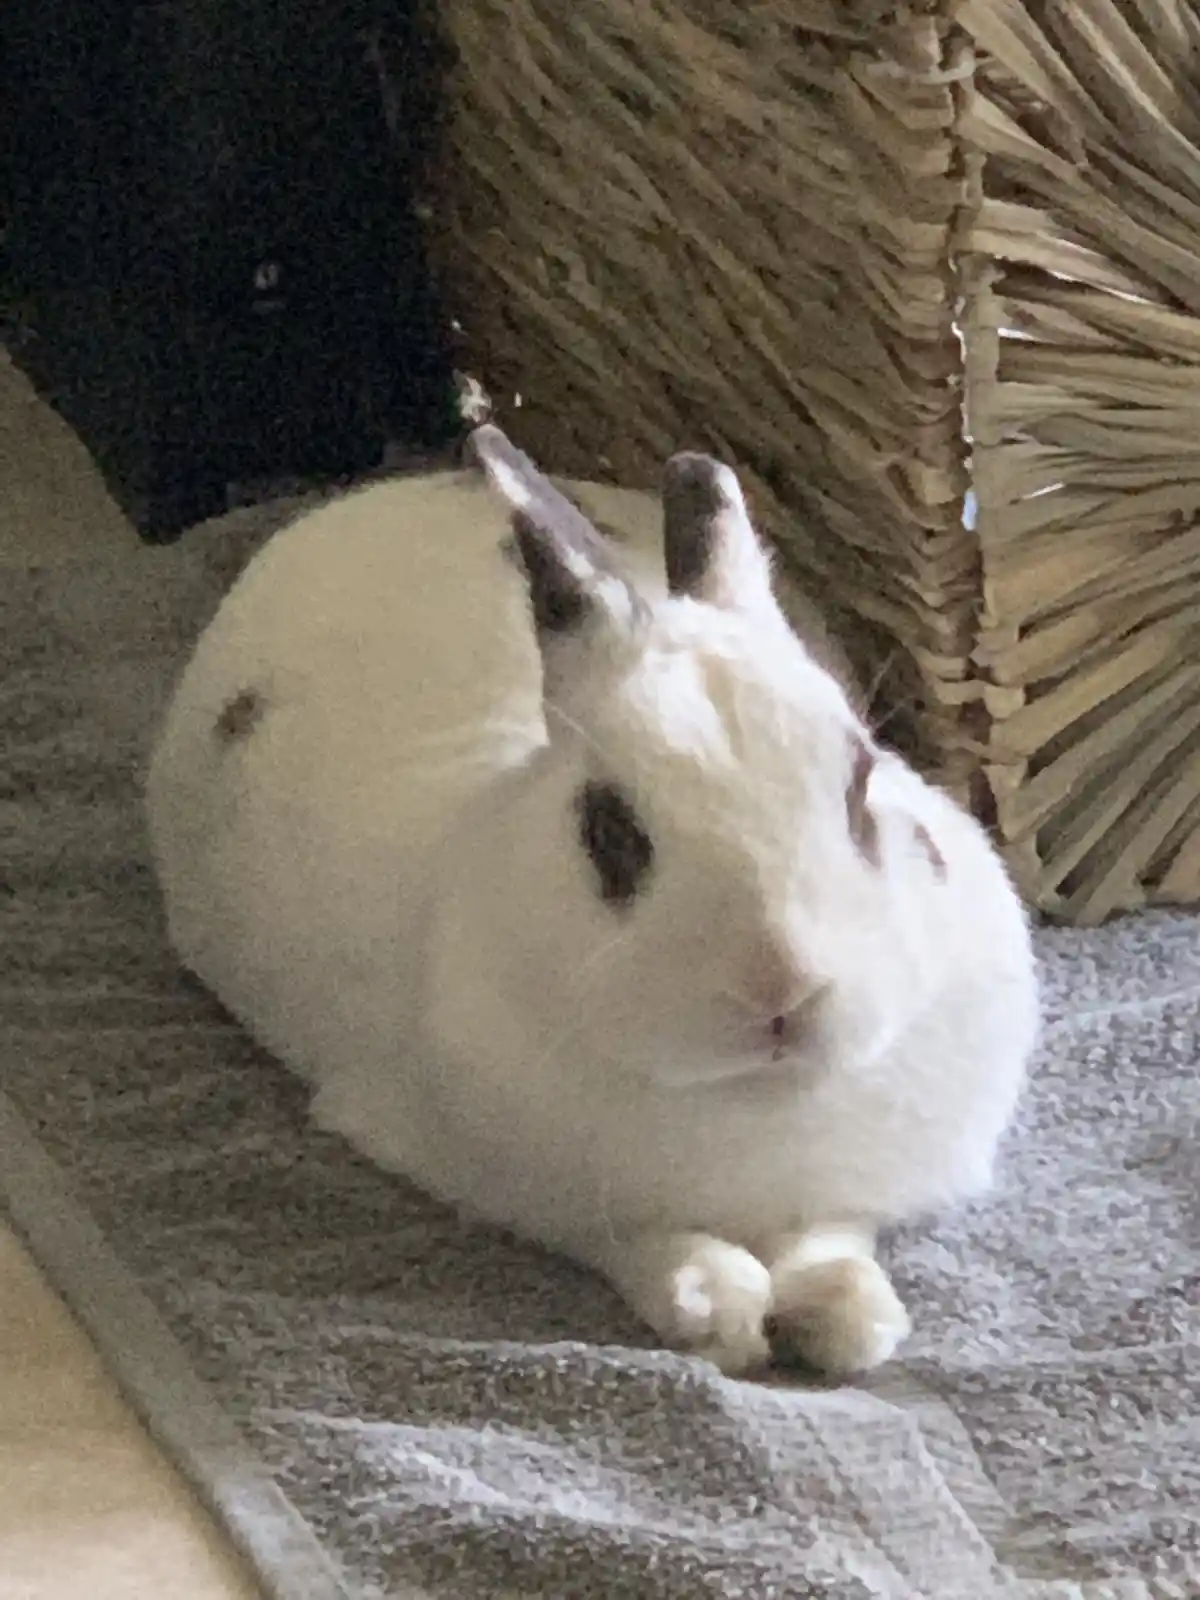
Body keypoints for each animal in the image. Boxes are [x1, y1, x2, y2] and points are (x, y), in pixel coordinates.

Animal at [145, 424, 1038, 1378]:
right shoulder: (521, 1187)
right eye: (609, 830)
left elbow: (831, 1235)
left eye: (863, 781)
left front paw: (846, 1317)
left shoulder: (843, 1188)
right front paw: (717, 1309)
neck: (754, 1100)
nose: (781, 989)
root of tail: (378, 497)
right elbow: (637, 1241)